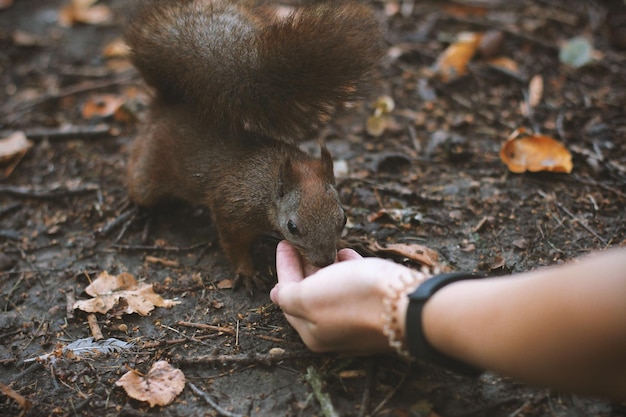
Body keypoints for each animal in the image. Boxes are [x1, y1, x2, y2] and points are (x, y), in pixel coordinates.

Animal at [124, 0, 382, 290]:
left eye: (344, 218)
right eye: (292, 227)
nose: (325, 261)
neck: (267, 188)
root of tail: (167, 104)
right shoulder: (229, 208)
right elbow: (233, 244)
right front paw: (246, 271)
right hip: (149, 169)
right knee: (140, 186)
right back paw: (136, 211)